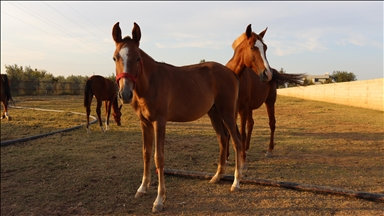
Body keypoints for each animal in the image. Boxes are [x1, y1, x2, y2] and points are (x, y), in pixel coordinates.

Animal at [112, 22, 274, 213]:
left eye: (137, 58)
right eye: (115, 58)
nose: (125, 94)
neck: (151, 83)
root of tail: (232, 73)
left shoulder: (160, 122)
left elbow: (159, 157)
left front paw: (159, 200)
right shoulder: (144, 123)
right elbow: (146, 153)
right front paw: (142, 188)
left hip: (227, 112)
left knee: (236, 141)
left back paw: (236, 183)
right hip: (214, 113)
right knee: (223, 138)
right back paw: (217, 176)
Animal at [225, 24, 304, 160]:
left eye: (265, 48)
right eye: (252, 47)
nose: (267, 74)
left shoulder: (243, 108)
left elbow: (242, 133)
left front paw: (241, 157)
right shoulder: (231, 108)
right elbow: (231, 132)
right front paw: (227, 156)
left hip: (269, 102)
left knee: (272, 123)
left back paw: (269, 150)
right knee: (251, 124)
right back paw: (246, 149)